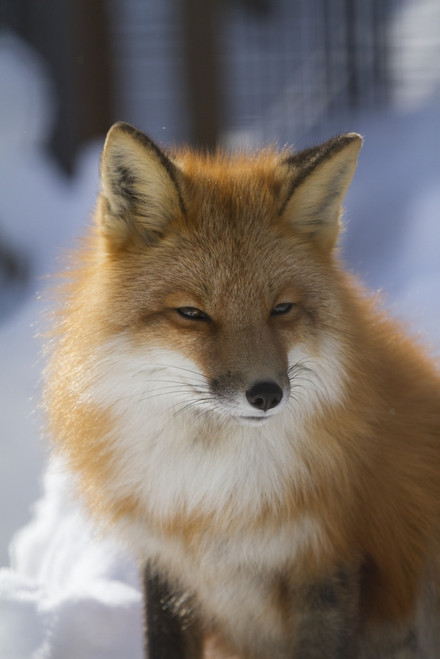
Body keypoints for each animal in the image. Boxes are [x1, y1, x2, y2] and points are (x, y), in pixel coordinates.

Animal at [44, 121, 440, 658]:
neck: (214, 498)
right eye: (192, 313)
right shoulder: (166, 565)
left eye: (281, 309)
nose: (266, 394)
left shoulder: (326, 560)